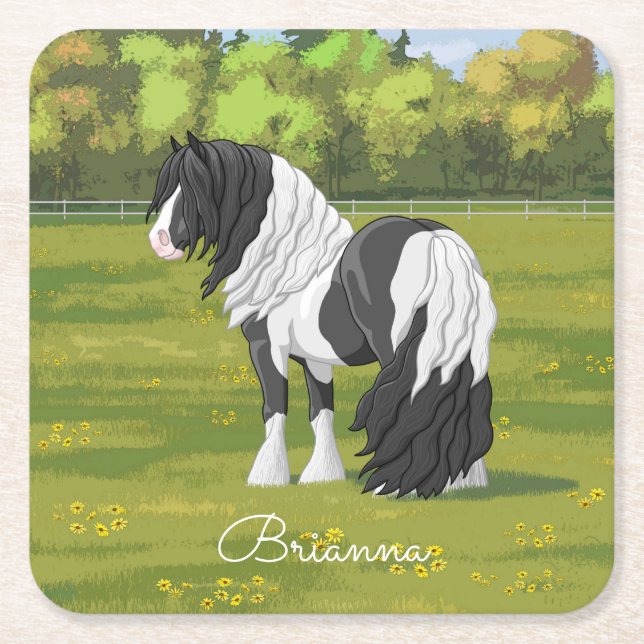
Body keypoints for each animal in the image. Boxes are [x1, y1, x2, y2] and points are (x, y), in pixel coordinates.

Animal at [147, 132, 497, 498]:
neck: (287, 262)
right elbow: (321, 412)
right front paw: (323, 475)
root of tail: (433, 239)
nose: (159, 241)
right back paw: (463, 481)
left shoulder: (266, 348)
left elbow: (274, 409)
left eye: (194, 187)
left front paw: (266, 476)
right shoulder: (315, 360)